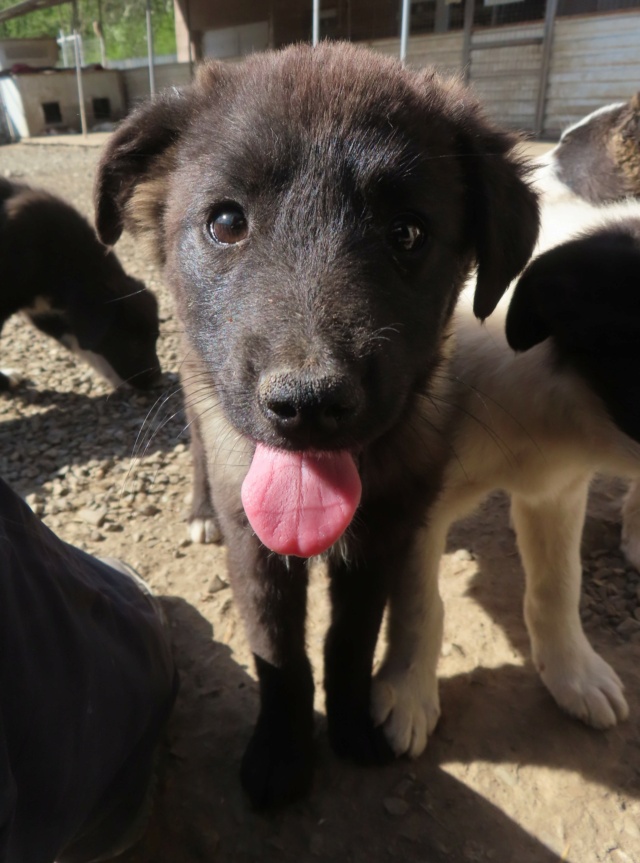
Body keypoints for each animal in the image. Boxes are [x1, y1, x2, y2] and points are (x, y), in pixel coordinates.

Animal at [92, 44, 536, 808]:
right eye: (226, 222)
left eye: (408, 233)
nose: (308, 404)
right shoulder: (257, 547)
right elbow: (279, 654)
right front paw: (280, 751)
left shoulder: (381, 542)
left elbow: (349, 643)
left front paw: (354, 724)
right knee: (200, 449)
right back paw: (199, 508)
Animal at [370, 214, 640, 764]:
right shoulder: (413, 501)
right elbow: (418, 606)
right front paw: (408, 694)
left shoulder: (556, 489)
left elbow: (558, 586)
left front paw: (573, 674)